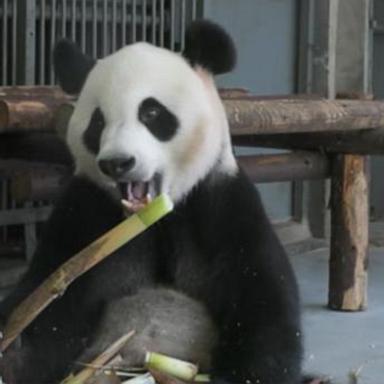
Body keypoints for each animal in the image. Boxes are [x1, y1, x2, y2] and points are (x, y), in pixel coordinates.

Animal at [0, 20, 304, 384]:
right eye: (97, 122)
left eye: (152, 112)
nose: (117, 162)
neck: (156, 219)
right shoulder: (87, 216)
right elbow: (49, 308)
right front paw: (12, 352)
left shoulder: (220, 205)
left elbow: (262, 304)